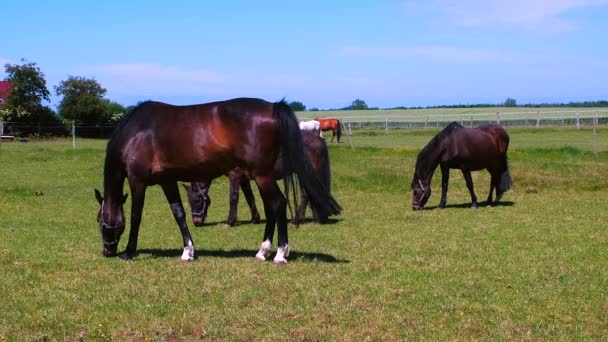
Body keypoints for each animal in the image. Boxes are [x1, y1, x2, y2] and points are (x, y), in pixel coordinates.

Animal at [95, 97, 342, 264]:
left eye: (99, 221)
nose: (107, 251)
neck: (136, 132)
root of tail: (273, 106)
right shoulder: (168, 181)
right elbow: (178, 214)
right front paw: (188, 251)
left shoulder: (137, 181)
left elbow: (136, 216)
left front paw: (129, 251)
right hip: (263, 176)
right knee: (272, 207)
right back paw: (262, 251)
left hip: (263, 175)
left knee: (279, 204)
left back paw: (280, 253)